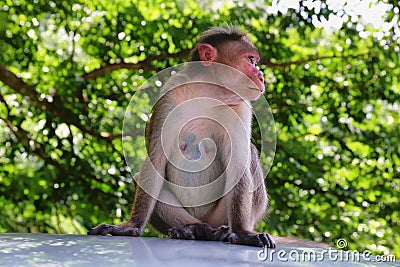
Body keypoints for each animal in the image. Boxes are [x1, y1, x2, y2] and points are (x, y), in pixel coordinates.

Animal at [87, 26, 276, 248]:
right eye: (250, 59)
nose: (261, 75)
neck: (209, 92)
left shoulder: (241, 108)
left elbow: (238, 164)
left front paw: (243, 232)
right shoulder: (170, 94)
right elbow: (156, 158)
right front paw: (132, 225)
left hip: (219, 215)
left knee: (251, 154)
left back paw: (223, 231)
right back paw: (197, 229)